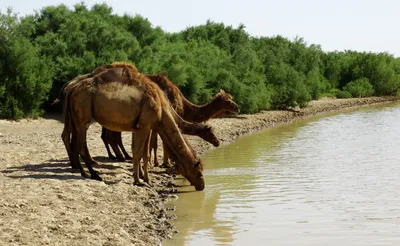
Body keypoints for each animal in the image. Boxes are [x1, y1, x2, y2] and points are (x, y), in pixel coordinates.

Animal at [63, 63, 206, 190]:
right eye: (199, 172)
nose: (202, 186)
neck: (161, 108)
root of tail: (72, 90)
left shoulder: (144, 127)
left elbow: (144, 154)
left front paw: (147, 179)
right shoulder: (144, 126)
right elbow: (138, 153)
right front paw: (138, 181)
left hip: (75, 118)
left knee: (74, 143)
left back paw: (84, 173)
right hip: (82, 115)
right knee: (81, 146)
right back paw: (94, 175)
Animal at [101, 72, 239, 165]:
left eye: (230, 98)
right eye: (228, 101)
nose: (237, 107)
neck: (185, 106)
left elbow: (157, 142)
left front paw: (159, 162)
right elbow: (158, 143)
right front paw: (163, 163)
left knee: (111, 135)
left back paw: (121, 156)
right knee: (111, 136)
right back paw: (121, 157)